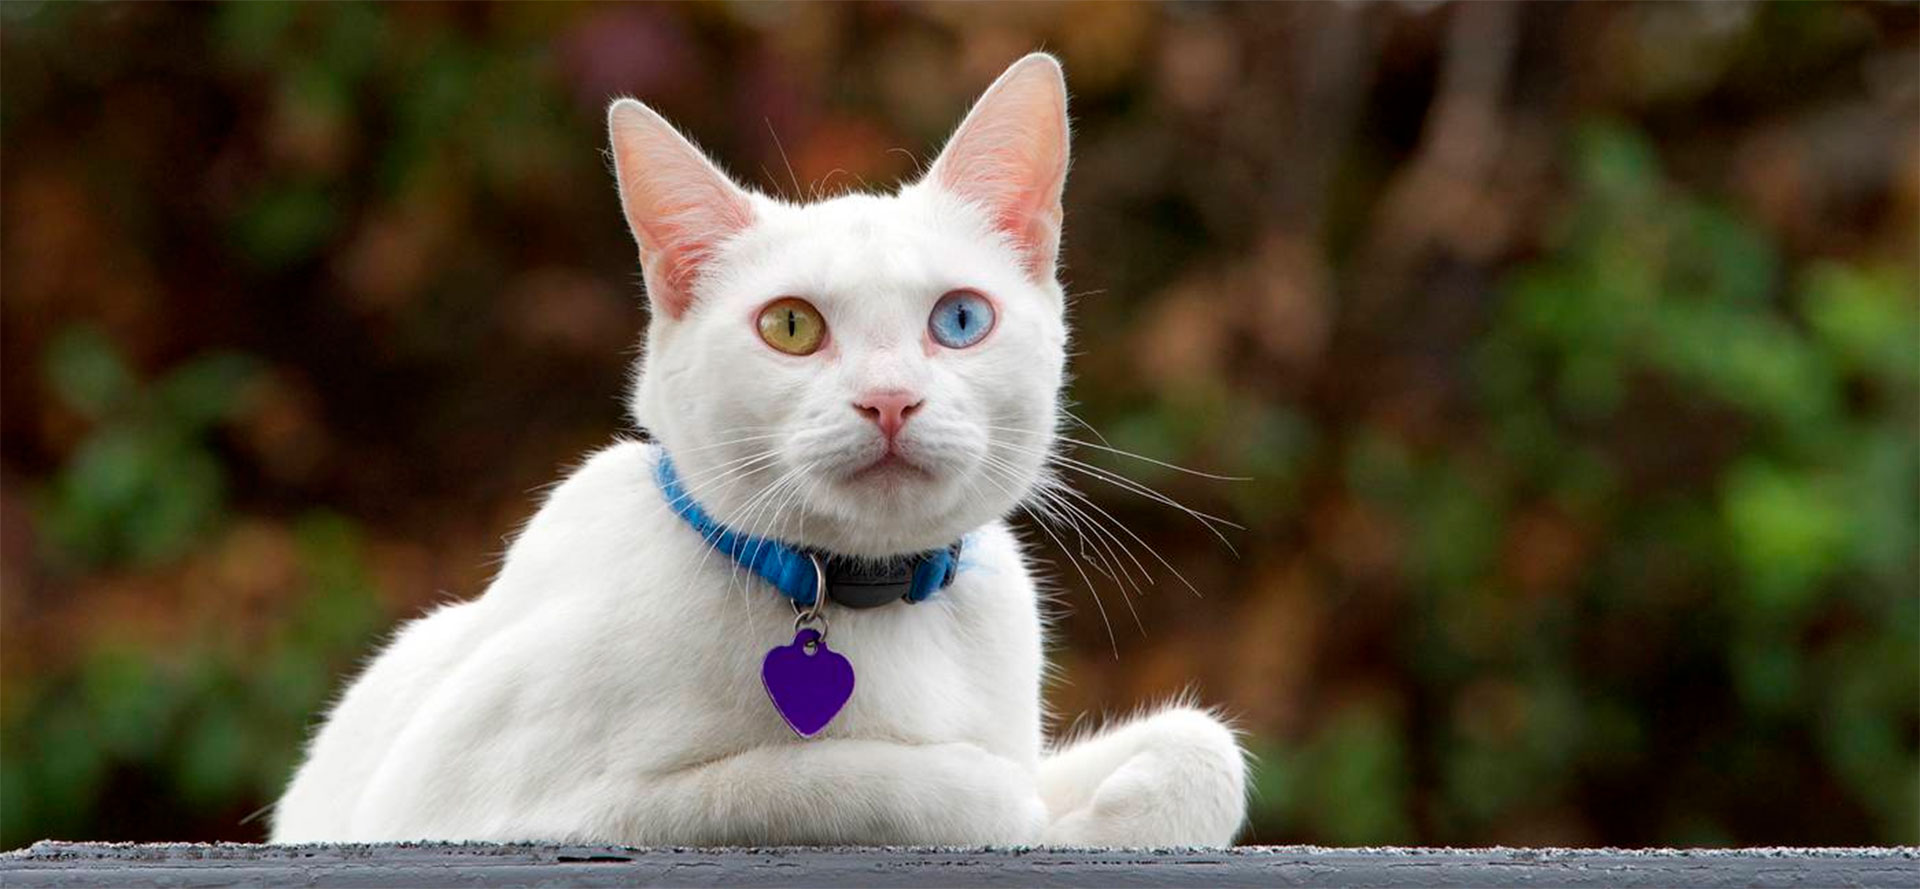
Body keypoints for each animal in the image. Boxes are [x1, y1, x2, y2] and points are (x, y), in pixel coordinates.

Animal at [274, 54, 1244, 848]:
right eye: (790, 327)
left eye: (961, 319)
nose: (890, 399)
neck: (866, 600)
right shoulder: (469, 806)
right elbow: (801, 781)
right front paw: (1002, 801)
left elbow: (1207, 750)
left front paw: (1097, 814)